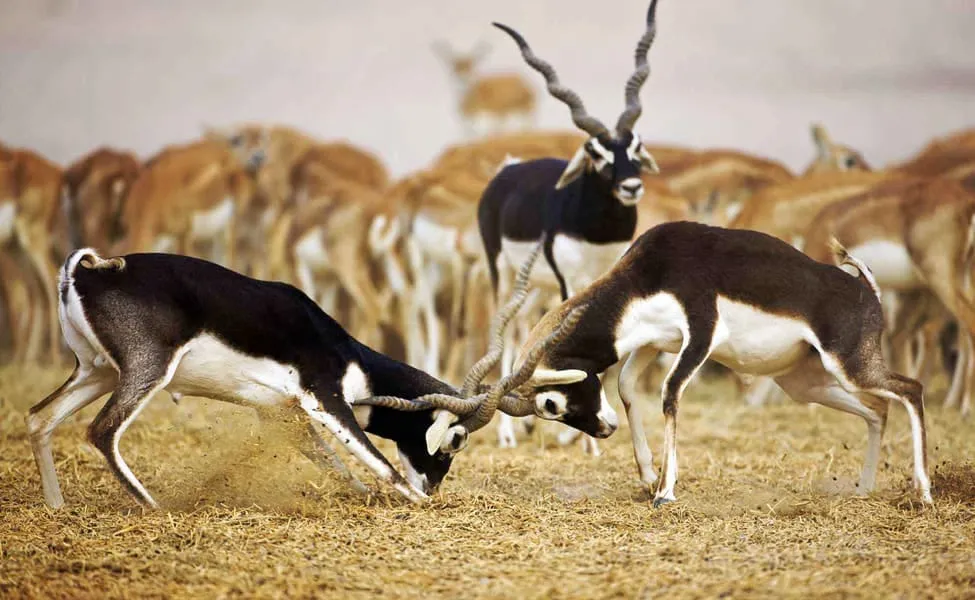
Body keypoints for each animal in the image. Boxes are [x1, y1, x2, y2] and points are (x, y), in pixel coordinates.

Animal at [22, 246, 552, 508]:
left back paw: (56, 507)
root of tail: (86, 272)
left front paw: (362, 498)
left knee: (37, 418)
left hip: (97, 372)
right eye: (456, 440)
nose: (434, 487)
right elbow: (377, 462)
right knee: (102, 431)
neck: (344, 351)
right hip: (147, 369)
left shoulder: (279, 413)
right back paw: (154, 506)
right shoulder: (325, 397)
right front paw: (412, 500)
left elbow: (335, 465)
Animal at [480, 0, 664, 450]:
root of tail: (508, 169)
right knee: (504, 335)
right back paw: (509, 434)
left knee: (524, 331)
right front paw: (583, 440)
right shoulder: (569, 280)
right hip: (503, 274)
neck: (596, 232)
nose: (631, 186)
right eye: (596, 153)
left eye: (635, 147)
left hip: (535, 287)